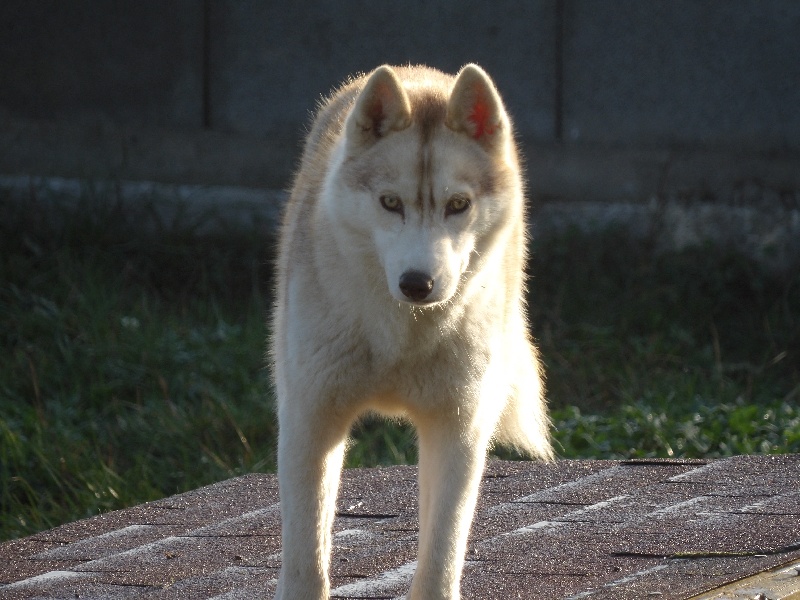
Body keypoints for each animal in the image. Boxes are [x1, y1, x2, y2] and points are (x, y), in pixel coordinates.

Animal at [272, 63, 552, 596]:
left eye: (458, 204)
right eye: (390, 203)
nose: (417, 283)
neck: (401, 337)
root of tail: (417, 72)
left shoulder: (459, 427)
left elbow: (442, 552)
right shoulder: (311, 417)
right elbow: (305, 557)